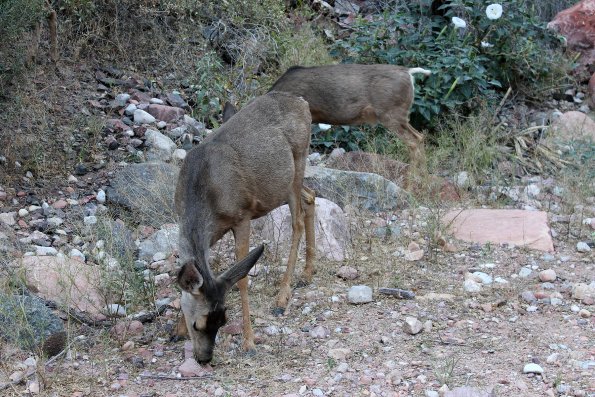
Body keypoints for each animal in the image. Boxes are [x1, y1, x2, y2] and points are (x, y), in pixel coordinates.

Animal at [175, 91, 316, 364]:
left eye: (222, 322)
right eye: (197, 325)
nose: (204, 358)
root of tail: (303, 102)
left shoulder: (242, 216)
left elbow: (241, 278)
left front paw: (249, 341)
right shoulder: (208, 231)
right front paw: (176, 329)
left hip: (298, 161)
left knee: (297, 220)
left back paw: (283, 295)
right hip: (284, 183)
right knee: (311, 196)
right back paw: (307, 272)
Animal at [272, 63, 434, 183]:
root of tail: (408, 72)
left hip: (391, 113)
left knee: (414, 140)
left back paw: (413, 181)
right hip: (399, 115)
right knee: (419, 136)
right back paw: (424, 178)